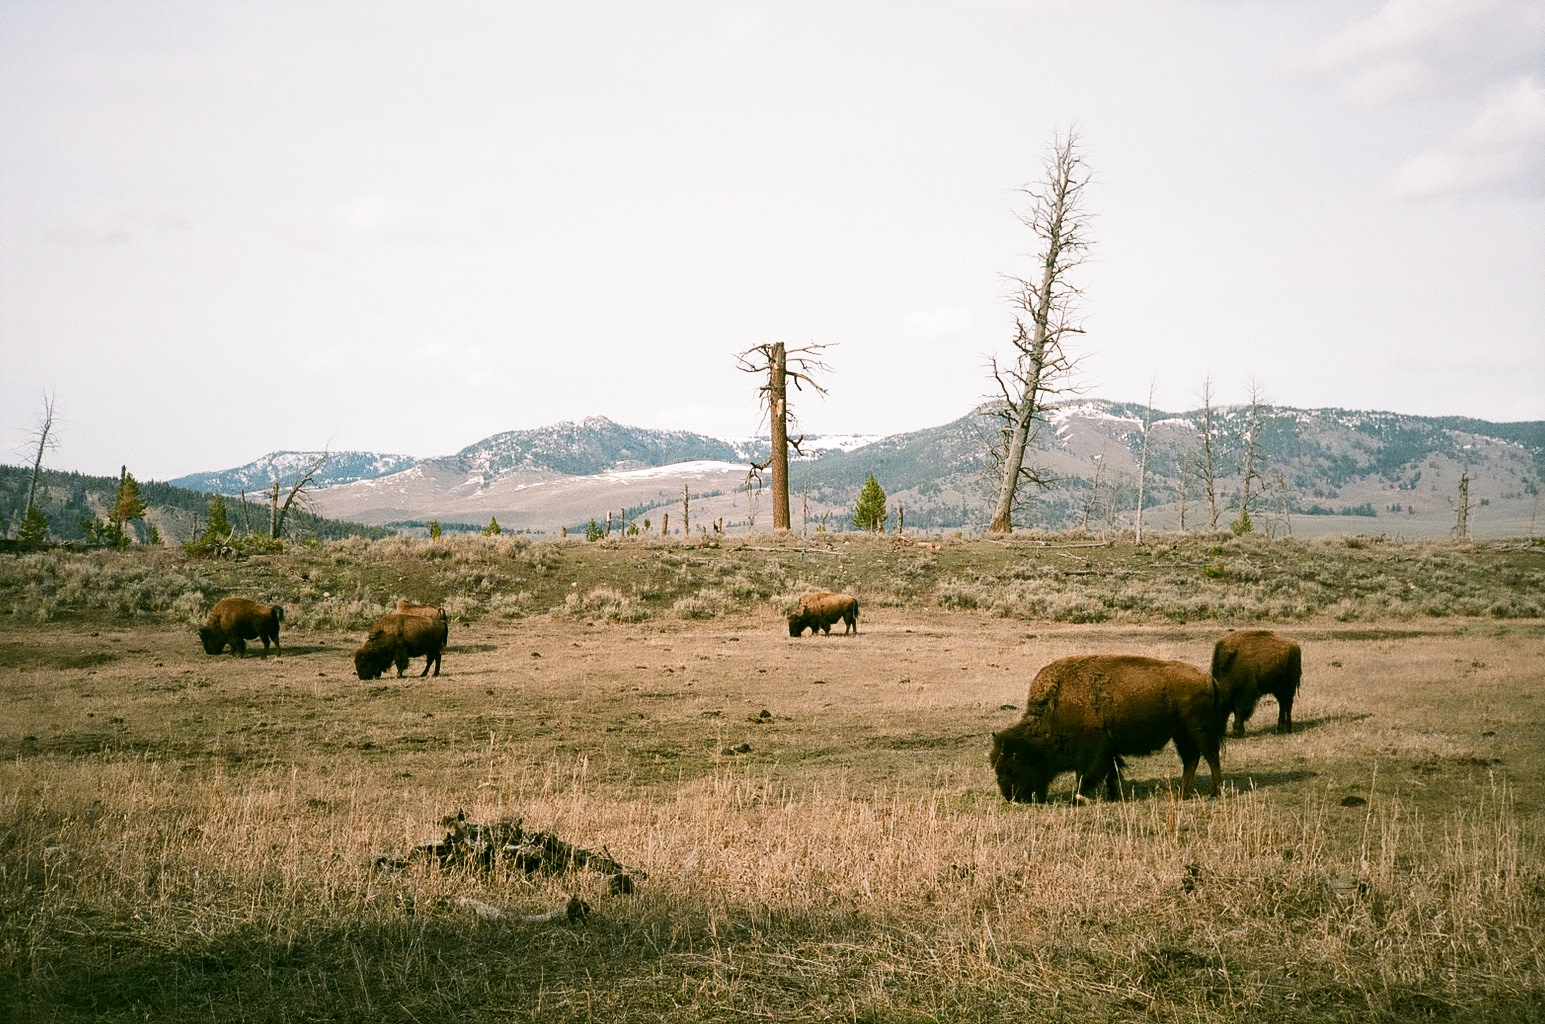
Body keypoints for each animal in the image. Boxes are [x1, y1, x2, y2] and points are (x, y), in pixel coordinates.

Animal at [990, 654, 1223, 803]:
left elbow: (1086, 774)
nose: (1011, 797)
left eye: (1012, 768)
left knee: (1211, 756)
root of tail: (1208, 678)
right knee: (1191, 759)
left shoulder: (1092, 751)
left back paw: (1215, 793)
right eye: (997, 768)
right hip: (1181, 734)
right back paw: (1182, 794)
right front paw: (1114, 797)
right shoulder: (1108, 751)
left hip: (1197, 730)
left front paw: (1078, 799)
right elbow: (1112, 773)